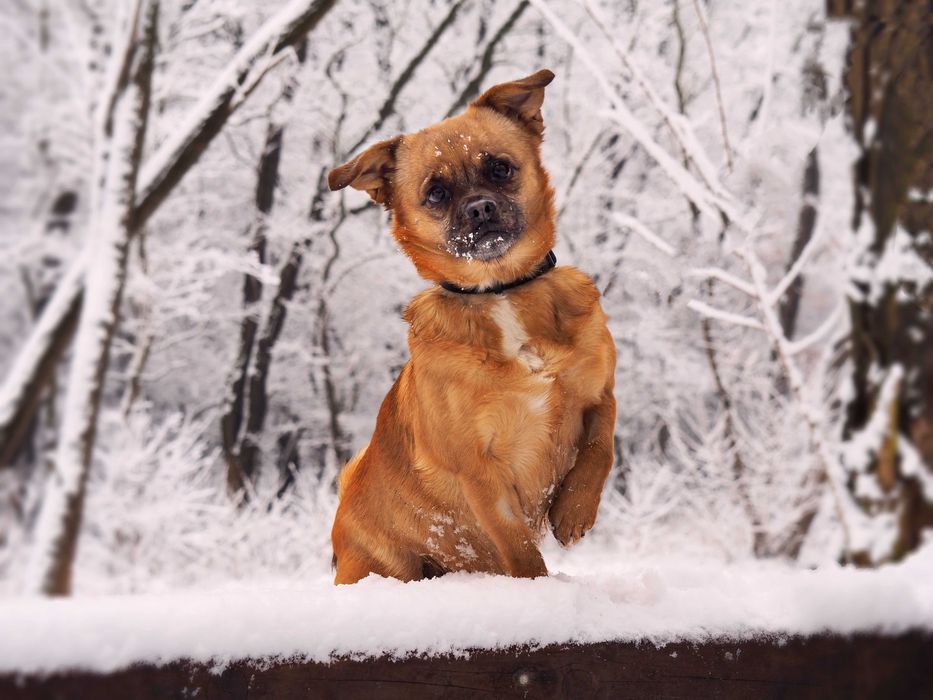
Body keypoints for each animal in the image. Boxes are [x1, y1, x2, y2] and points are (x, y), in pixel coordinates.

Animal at [324, 69, 616, 584]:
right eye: (436, 193)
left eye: (500, 168)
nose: (480, 207)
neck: (500, 292)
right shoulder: (482, 475)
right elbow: (521, 550)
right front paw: (544, 589)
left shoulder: (602, 392)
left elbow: (602, 444)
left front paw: (574, 510)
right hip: (389, 566)